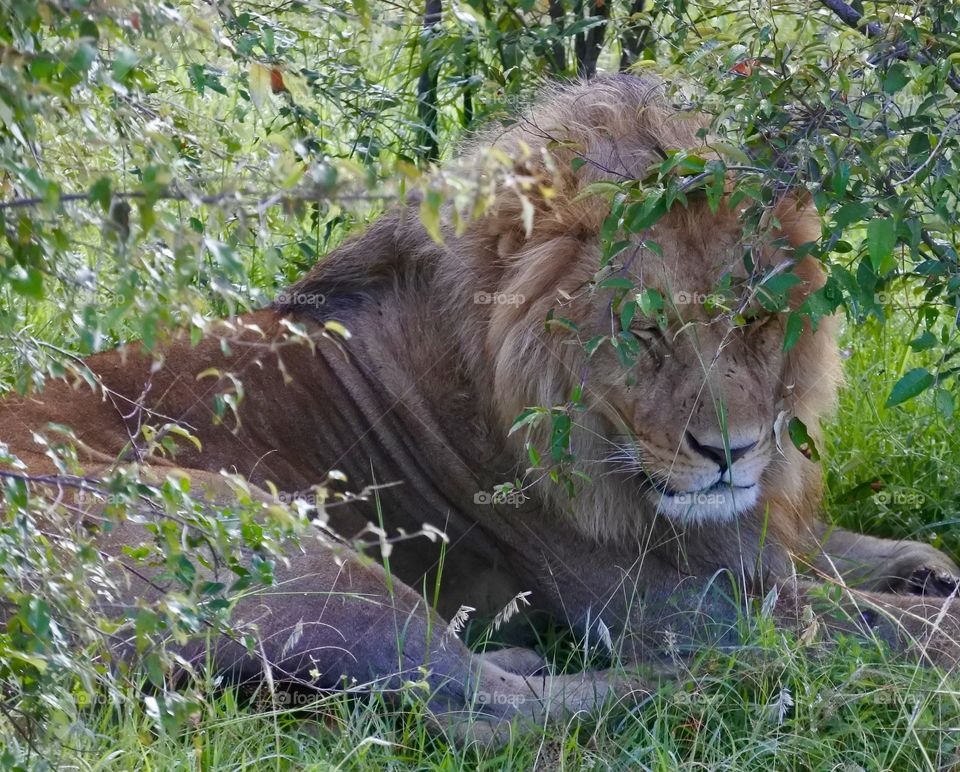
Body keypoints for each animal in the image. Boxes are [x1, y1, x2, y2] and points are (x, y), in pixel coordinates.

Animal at [3, 74, 960, 743]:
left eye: (758, 318)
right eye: (644, 330)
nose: (732, 452)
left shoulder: (747, 534)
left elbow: (883, 557)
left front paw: (925, 566)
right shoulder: (674, 599)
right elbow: (893, 625)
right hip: (267, 534)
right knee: (480, 711)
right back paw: (701, 682)